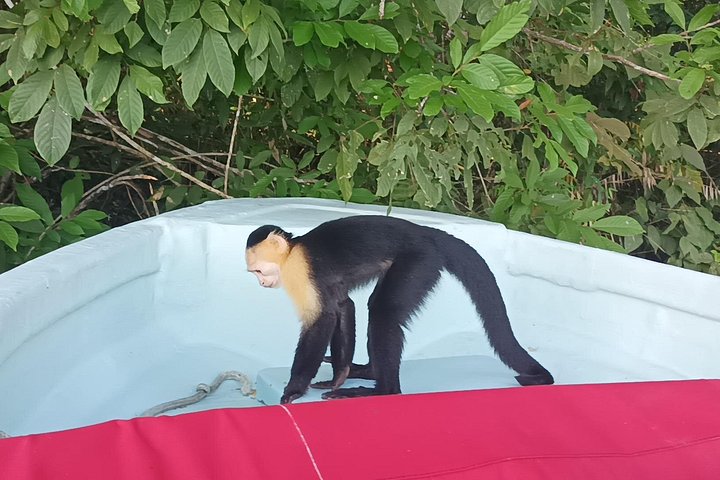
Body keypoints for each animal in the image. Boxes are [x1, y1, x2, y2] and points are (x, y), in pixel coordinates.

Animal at [245, 215, 554, 404]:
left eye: (258, 270)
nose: (260, 283)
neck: (292, 251)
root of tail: (427, 233)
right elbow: (343, 306)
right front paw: (339, 375)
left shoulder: (300, 270)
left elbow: (323, 318)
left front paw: (294, 389)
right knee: (375, 307)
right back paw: (368, 372)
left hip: (420, 261)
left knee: (384, 312)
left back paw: (383, 391)